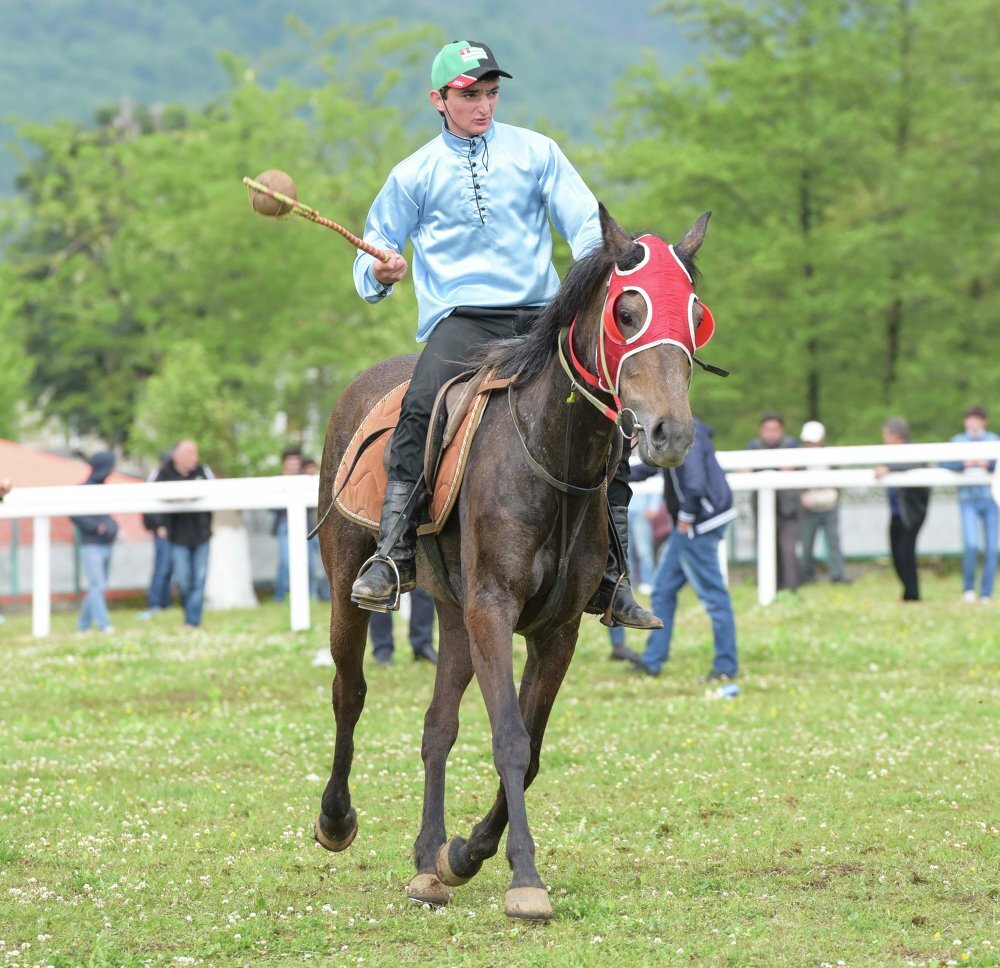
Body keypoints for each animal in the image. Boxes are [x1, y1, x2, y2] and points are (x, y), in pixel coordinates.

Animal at [316, 206, 716, 924]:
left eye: (695, 313)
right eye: (628, 311)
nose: (670, 432)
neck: (549, 451)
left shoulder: (554, 630)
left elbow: (527, 750)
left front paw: (465, 853)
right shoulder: (493, 610)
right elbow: (508, 737)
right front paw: (524, 876)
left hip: (451, 615)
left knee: (436, 727)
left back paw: (428, 861)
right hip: (346, 587)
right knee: (350, 691)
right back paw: (336, 819)